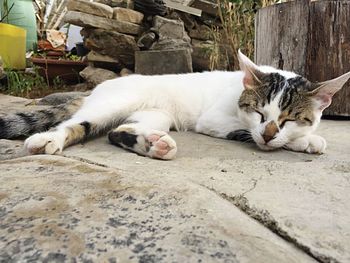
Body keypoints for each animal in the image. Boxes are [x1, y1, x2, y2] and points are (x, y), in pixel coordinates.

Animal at [0, 50, 350, 160]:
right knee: (77, 124)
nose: (267, 133)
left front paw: (307, 139)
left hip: (157, 115)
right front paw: (302, 141)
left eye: (291, 118)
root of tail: (97, 87)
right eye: (259, 112)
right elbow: (246, 133)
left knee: (119, 130)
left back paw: (152, 144)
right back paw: (47, 139)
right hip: (111, 104)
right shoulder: (214, 120)